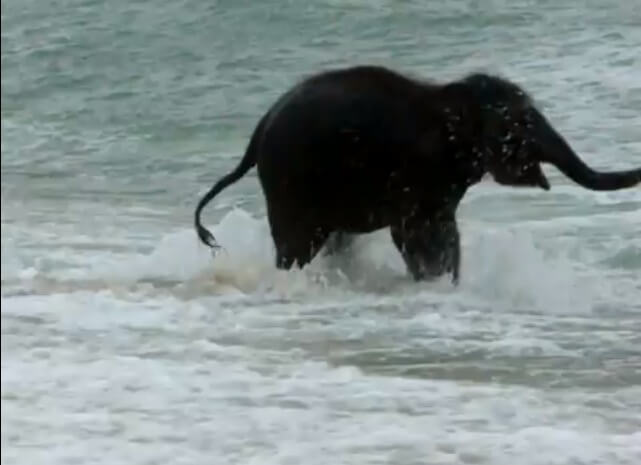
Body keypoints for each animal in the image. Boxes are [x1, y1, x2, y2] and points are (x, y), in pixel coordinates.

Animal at [192, 65, 636, 282]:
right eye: (523, 122)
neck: (452, 97)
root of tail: (258, 131)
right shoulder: (419, 172)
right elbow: (421, 234)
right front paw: (435, 282)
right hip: (290, 181)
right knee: (300, 244)